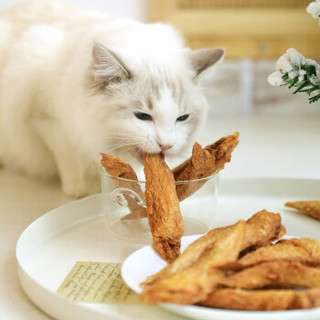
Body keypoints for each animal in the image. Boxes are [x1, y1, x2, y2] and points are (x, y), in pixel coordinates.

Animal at [0, 0, 224, 198]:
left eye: (182, 118)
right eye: (142, 116)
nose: (166, 145)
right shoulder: (47, 120)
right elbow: (68, 157)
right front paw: (81, 190)